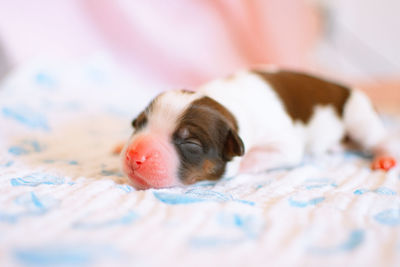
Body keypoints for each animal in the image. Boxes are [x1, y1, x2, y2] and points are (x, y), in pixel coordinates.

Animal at [119, 69, 396, 191]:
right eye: (138, 124)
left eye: (191, 145)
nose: (134, 156)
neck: (226, 104)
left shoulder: (284, 144)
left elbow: (264, 155)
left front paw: (242, 164)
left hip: (359, 116)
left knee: (379, 138)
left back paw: (384, 157)